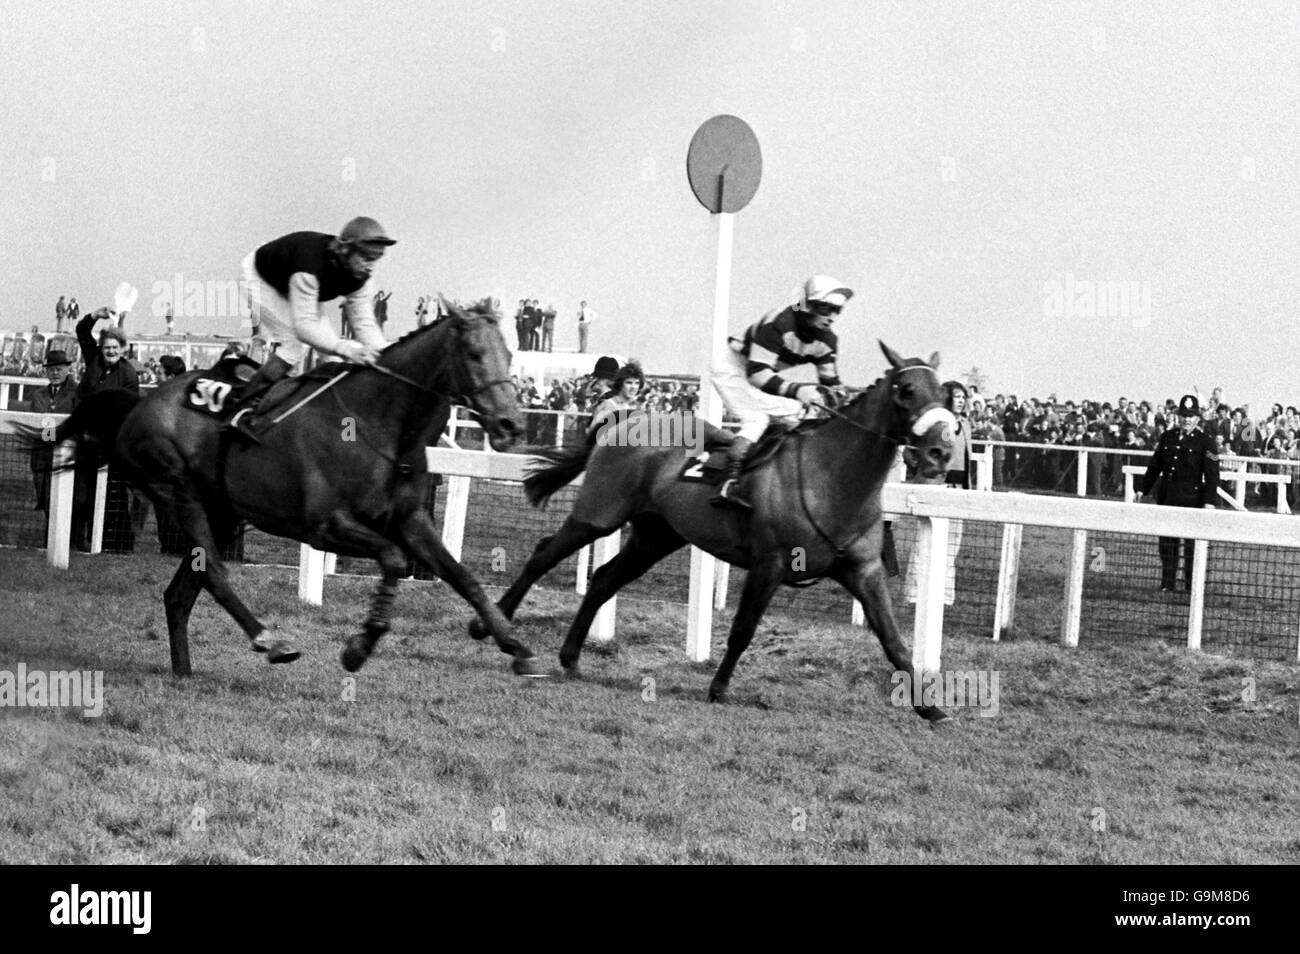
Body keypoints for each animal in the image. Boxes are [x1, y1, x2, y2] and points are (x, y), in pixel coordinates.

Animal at [29, 298, 548, 681]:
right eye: (474, 355)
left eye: (509, 355)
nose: (511, 425)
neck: (378, 423)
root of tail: (138, 404)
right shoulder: (324, 526)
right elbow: (394, 561)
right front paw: (360, 646)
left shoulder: (408, 518)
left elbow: (463, 576)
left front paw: (514, 644)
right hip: (178, 492)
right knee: (215, 573)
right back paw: (270, 641)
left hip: (221, 511)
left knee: (181, 592)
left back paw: (184, 672)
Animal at [475, 343, 956, 722]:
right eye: (907, 390)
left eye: (944, 393)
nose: (941, 451)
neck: (830, 476)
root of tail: (624, 421)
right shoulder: (769, 564)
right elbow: (743, 629)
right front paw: (719, 689)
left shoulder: (864, 569)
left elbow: (894, 640)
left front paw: (929, 706)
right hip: (599, 514)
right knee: (544, 554)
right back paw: (491, 627)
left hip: (655, 536)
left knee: (603, 580)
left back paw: (571, 658)